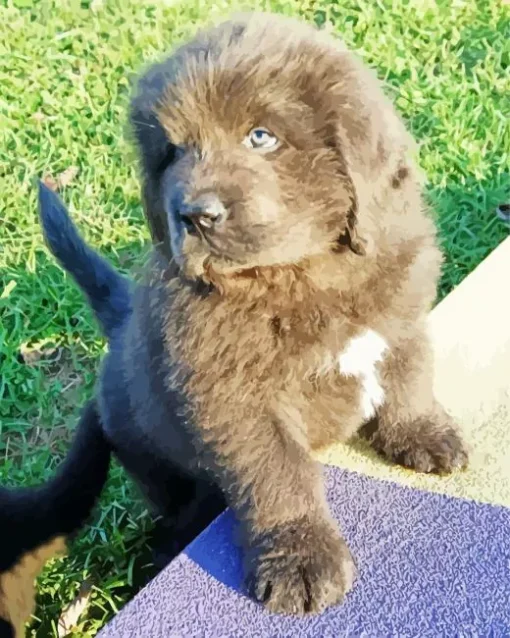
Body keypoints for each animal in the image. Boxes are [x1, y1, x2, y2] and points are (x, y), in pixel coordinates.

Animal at [126, 11, 466, 620]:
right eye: (172, 152)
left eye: (261, 137)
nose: (194, 214)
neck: (302, 275)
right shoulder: (233, 394)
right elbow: (278, 474)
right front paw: (300, 560)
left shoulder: (401, 309)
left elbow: (409, 374)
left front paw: (423, 433)